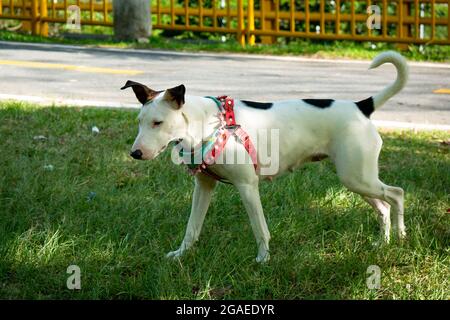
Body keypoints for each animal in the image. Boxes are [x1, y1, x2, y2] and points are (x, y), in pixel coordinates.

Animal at [122, 50, 408, 262]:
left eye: (158, 123)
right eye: (139, 122)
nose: (135, 153)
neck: (208, 123)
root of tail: (361, 106)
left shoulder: (247, 186)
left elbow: (260, 228)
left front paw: (263, 259)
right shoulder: (203, 187)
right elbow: (192, 227)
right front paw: (181, 254)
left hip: (357, 177)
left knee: (396, 194)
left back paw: (402, 236)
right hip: (358, 179)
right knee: (383, 206)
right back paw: (383, 242)